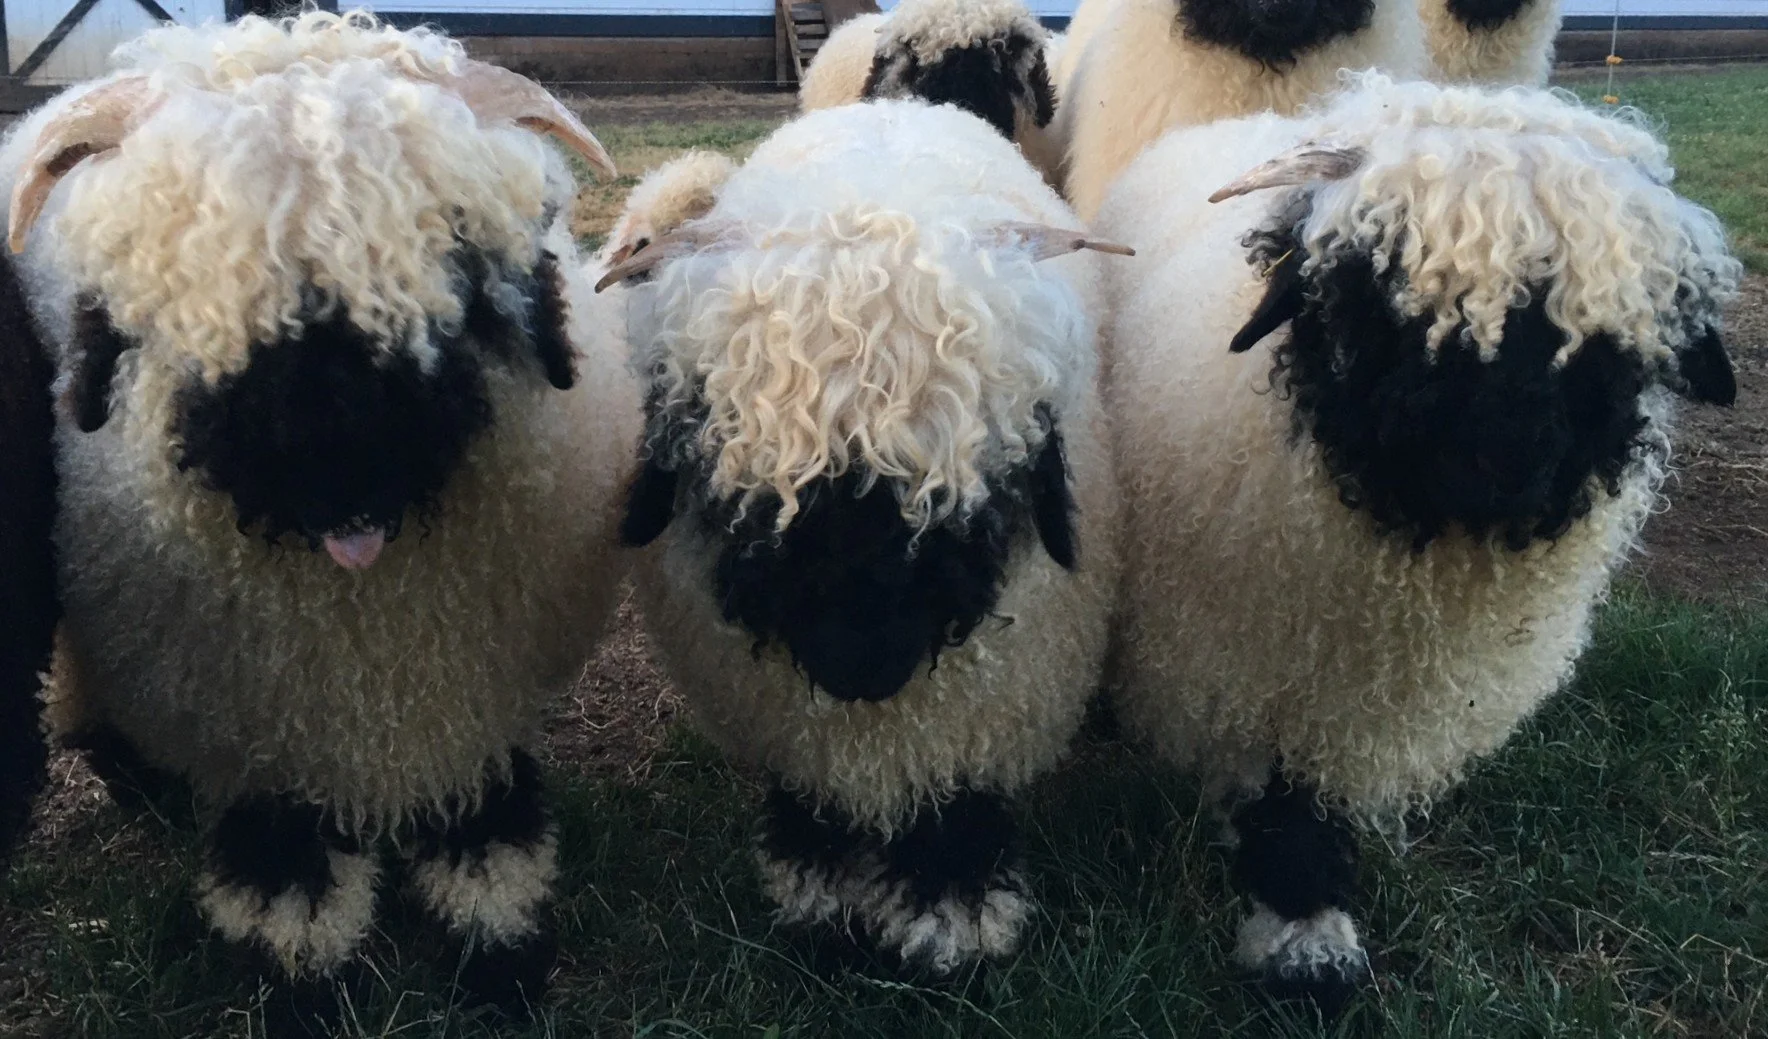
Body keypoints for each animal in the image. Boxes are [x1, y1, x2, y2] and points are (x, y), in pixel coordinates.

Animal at [3, 10, 639, 1014]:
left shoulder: (472, 684)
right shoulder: (264, 729)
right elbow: (285, 857)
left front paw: (499, 947)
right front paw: (303, 977)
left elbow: (482, 816)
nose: (343, 478)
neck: (357, 626)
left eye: (456, 272)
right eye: (186, 298)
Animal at [598, 99, 1127, 975]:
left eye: (978, 491)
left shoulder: (978, 715)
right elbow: (813, 801)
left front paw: (952, 919)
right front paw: (819, 893)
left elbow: (955, 810)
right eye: (739, 485)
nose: (861, 666)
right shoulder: (794, 725)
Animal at [1088, 73, 1738, 1010]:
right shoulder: (1252, 658)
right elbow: (1285, 801)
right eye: (1374, 302)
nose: (1501, 461)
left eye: (1604, 342)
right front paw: (1304, 939)